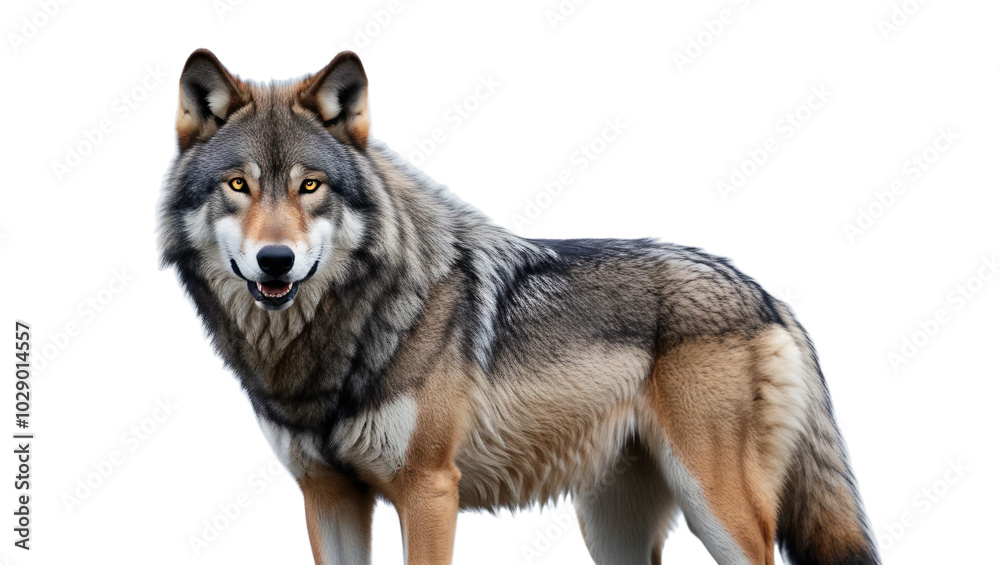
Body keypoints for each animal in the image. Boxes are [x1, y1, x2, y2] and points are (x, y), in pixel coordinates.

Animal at [158, 49, 880, 565]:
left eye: (310, 187)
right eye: (238, 185)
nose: (275, 260)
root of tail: (762, 291)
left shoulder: (429, 489)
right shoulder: (327, 495)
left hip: (717, 510)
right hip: (611, 529)